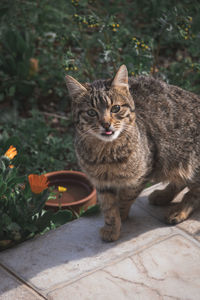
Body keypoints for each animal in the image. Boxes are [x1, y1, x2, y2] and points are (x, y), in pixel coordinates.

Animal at [65, 65, 200, 241]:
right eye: (91, 112)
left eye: (115, 108)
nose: (106, 124)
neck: (106, 154)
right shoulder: (100, 182)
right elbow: (108, 206)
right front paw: (111, 226)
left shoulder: (141, 175)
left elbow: (125, 197)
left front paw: (121, 216)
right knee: (181, 182)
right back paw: (162, 195)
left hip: (190, 162)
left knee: (195, 192)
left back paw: (179, 210)